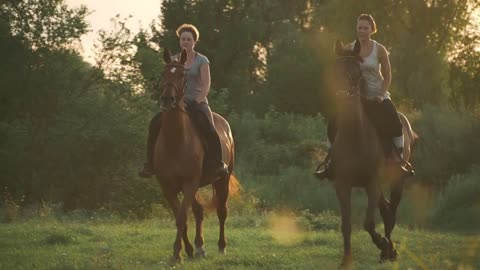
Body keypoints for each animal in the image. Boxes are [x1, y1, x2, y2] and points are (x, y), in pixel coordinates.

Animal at [155, 48, 240, 264]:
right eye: (164, 73)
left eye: (182, 75)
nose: (167, 100)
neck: (176, 141)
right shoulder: (168, 186)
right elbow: (181, 217)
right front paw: (185, 250)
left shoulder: (189, 182)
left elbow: (182, 217)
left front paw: (177, 252)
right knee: (199, 210)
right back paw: (199, 247)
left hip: (222, 179)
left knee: (221, 211)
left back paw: (221, 246)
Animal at [330, 40, 416, 268]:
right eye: (336, 67)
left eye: (355, 68)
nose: (341, 93)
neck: (356, 136)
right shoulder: (342, 184)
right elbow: (346, 224)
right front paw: (346, 260)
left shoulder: (372, 183)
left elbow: (369, 223)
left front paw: (383, 244)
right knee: (385, 210)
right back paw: (387, 250)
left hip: (397, 180)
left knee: (390, 213)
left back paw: (389, 251)